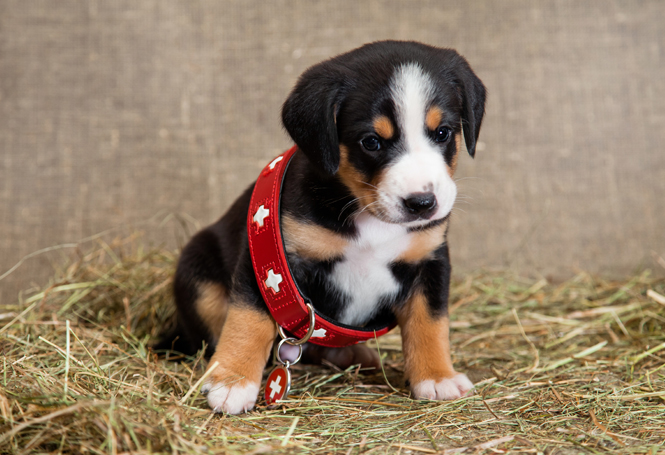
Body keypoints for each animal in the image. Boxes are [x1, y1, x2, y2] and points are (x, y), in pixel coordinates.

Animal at [158, 41, 486, 416]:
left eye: (443, 133)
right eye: (371, 142)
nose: (422, 203)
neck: (368, 216)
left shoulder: (429, 261)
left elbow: (430, 324)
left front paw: (437, 376)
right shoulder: (270, 263)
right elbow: (248, 320)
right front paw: (233, 381)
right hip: (198, 269)